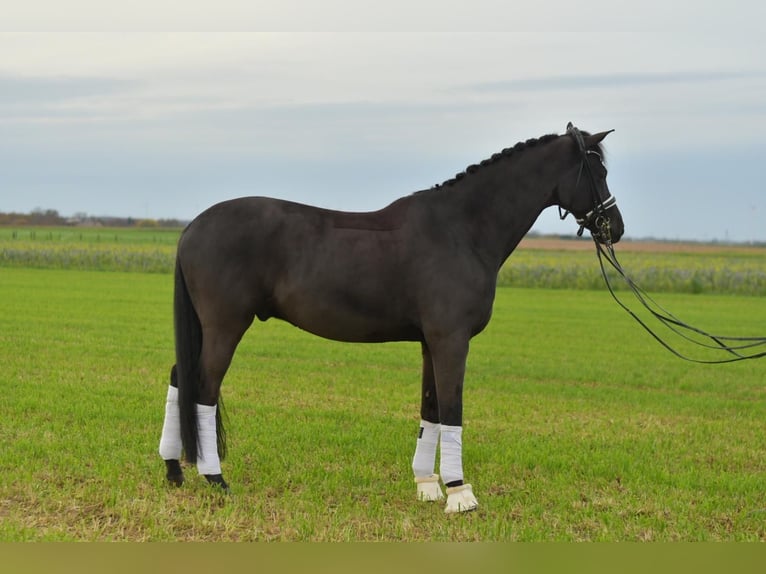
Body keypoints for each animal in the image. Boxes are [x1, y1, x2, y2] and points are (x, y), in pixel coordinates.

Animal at [158, 122, 624, 513]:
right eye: (598, 170)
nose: (614, 228)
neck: (462, 229)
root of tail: (192, 228)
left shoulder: (430, 342)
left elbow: (430, 408)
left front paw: (428, 486)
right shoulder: (451, 340)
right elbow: (452, 408)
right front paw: (461, 495)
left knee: (181, 378)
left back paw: (174, 469)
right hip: (225, 326)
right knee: (204, 388)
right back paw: (215, 478)